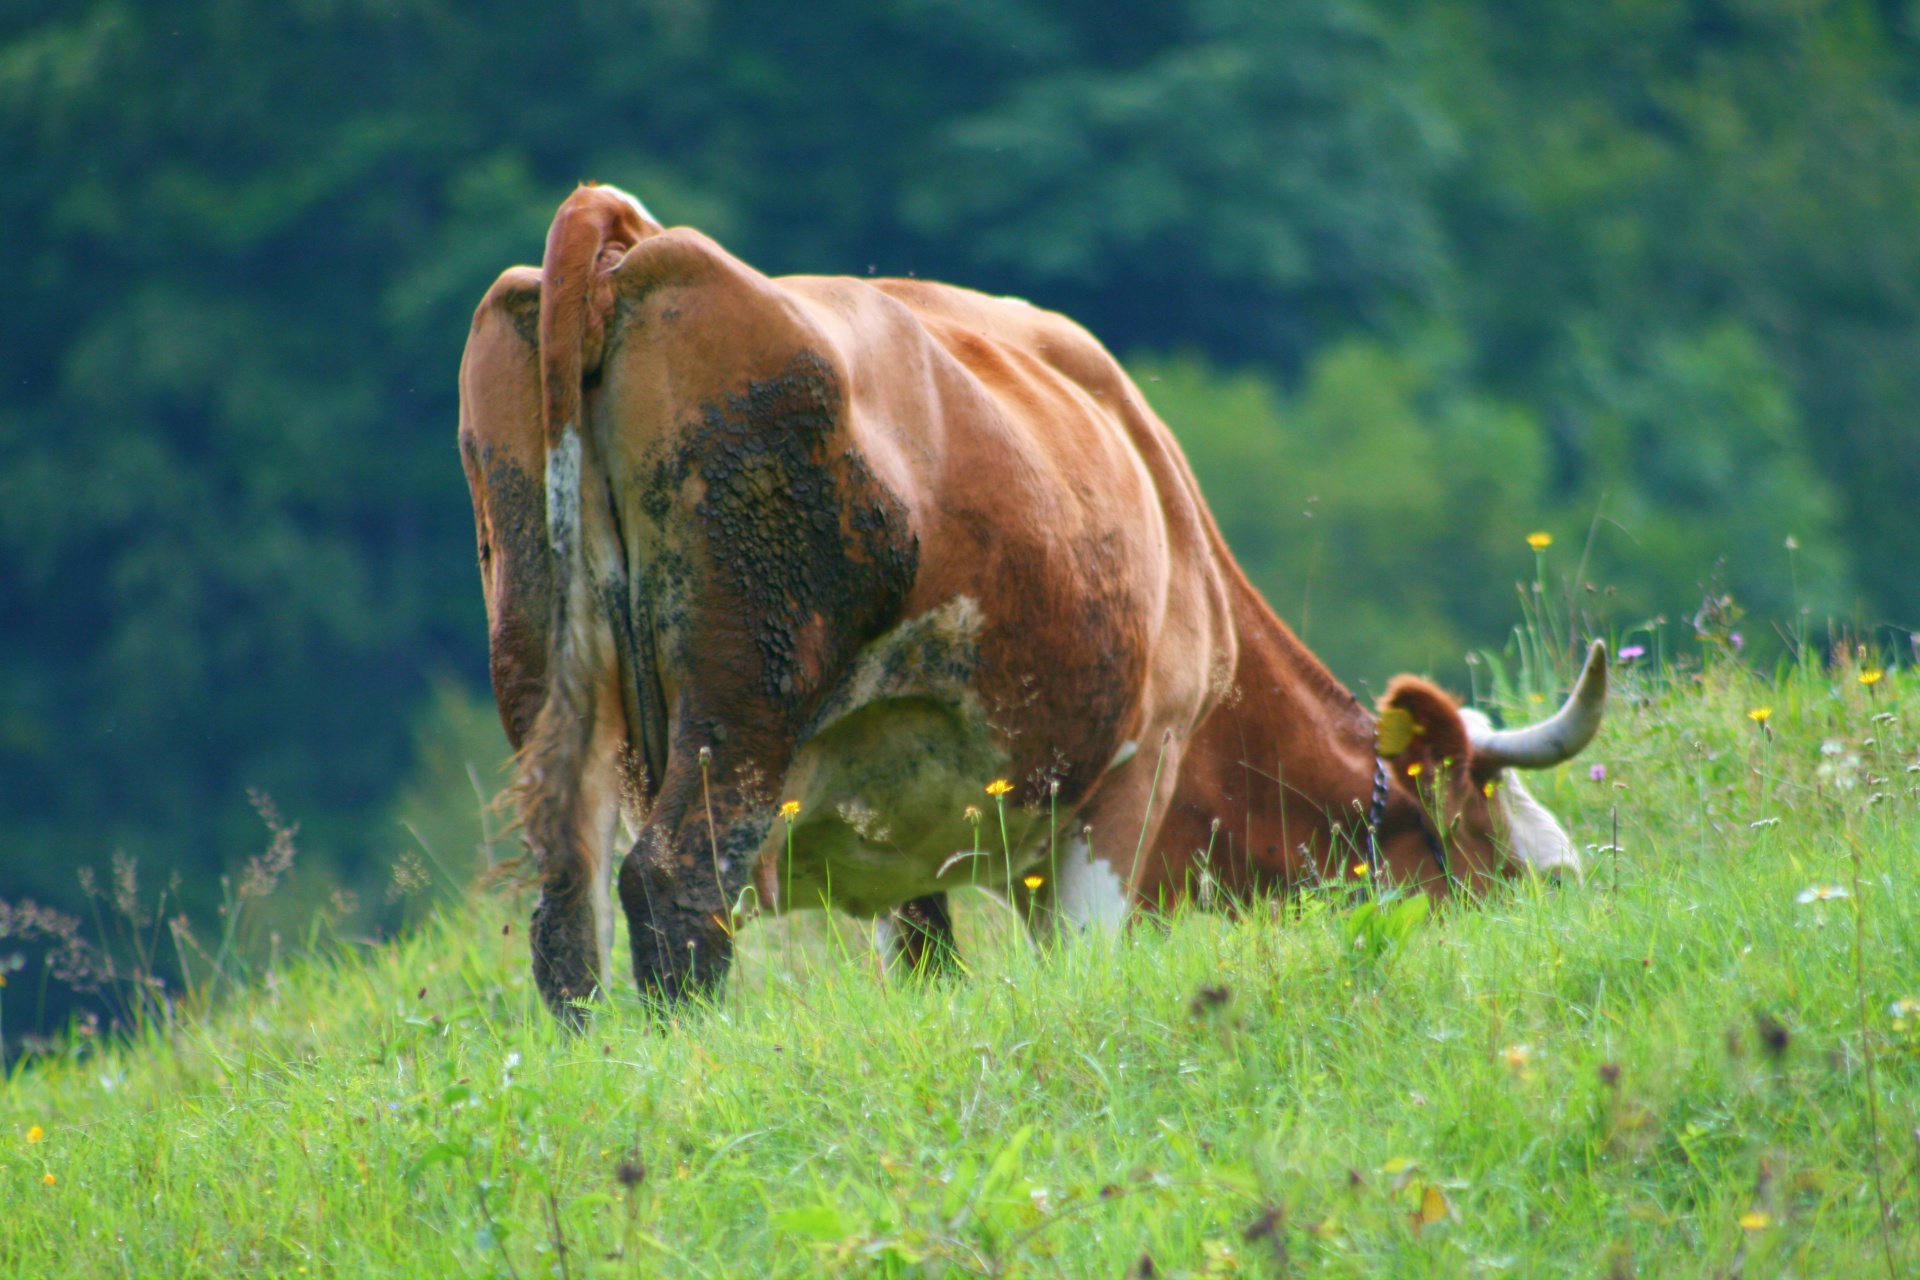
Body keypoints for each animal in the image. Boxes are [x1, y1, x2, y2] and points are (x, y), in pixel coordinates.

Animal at [464, 182, 1605, 1020]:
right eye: (1535, 876)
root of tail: (628, 241)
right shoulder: (1133, 774)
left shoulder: (896, 828)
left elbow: (926, 963)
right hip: (745, 698)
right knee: (674, 889)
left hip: (550, 681)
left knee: (566, 917)